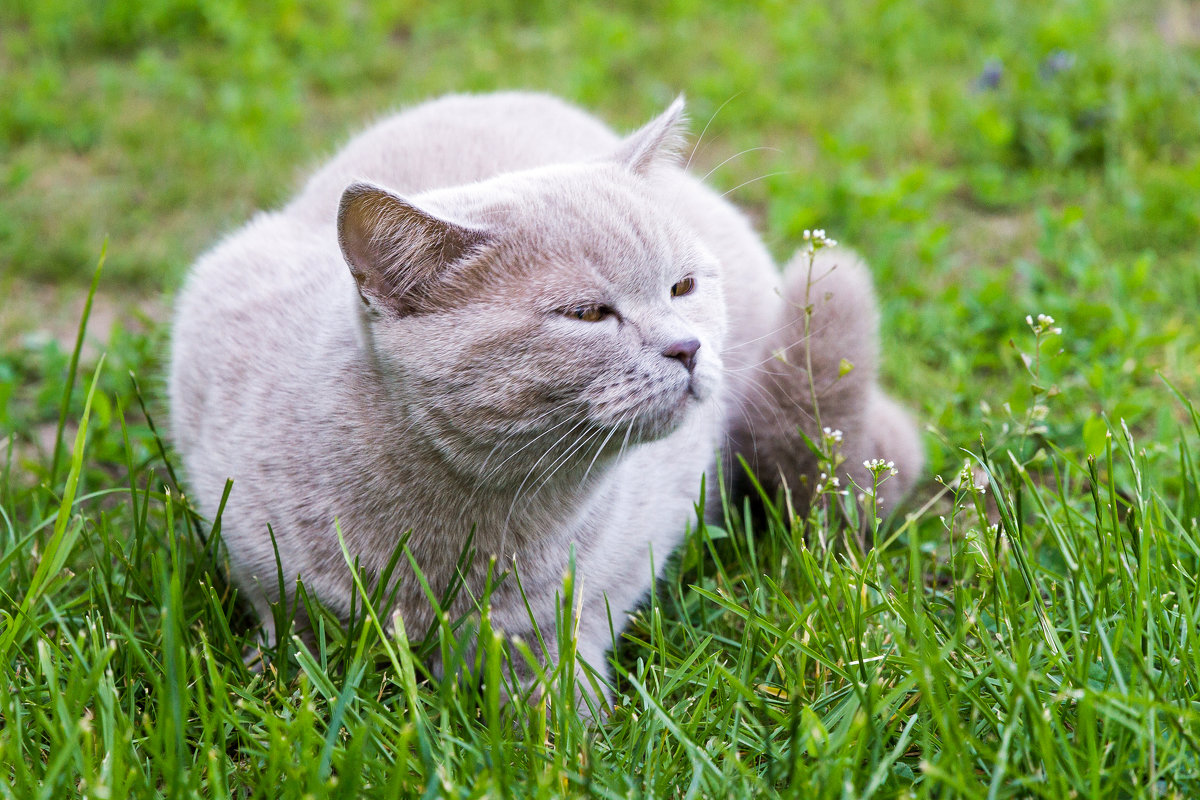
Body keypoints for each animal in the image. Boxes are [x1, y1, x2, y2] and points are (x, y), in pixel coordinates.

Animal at [166, 92, 916, 700]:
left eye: (682, 288)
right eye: (587, 315)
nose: (689, 347)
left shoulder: (591, 582)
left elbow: (555, 661)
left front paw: (568, 726)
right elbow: (292, 632)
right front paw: (275, 686)